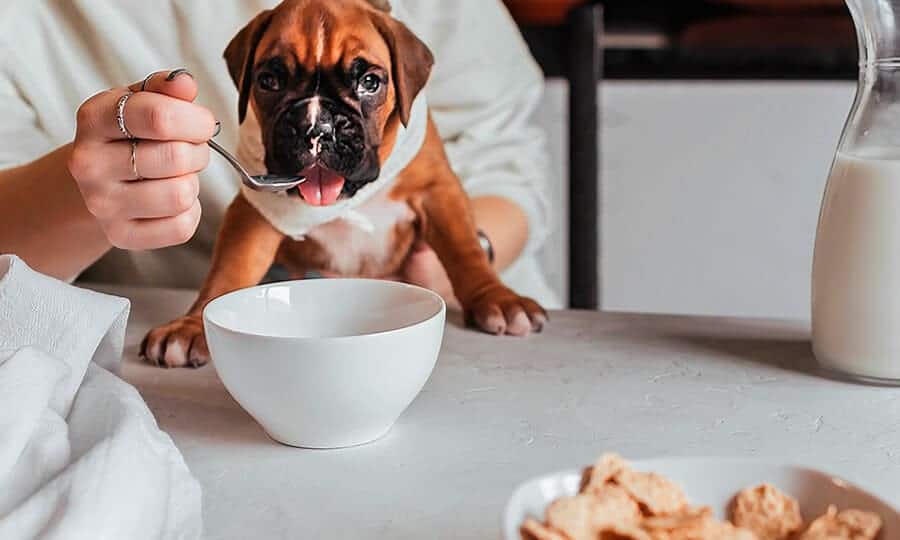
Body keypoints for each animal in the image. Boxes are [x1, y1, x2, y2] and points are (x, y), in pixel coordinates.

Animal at [142, 0, 548, 368]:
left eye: (370, 82)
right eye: (269, 81)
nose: (316, 127)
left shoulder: (438, 191)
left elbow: (465, 250)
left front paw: (498, 298)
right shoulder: (257, 209)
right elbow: (229, 270)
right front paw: (191, 324)